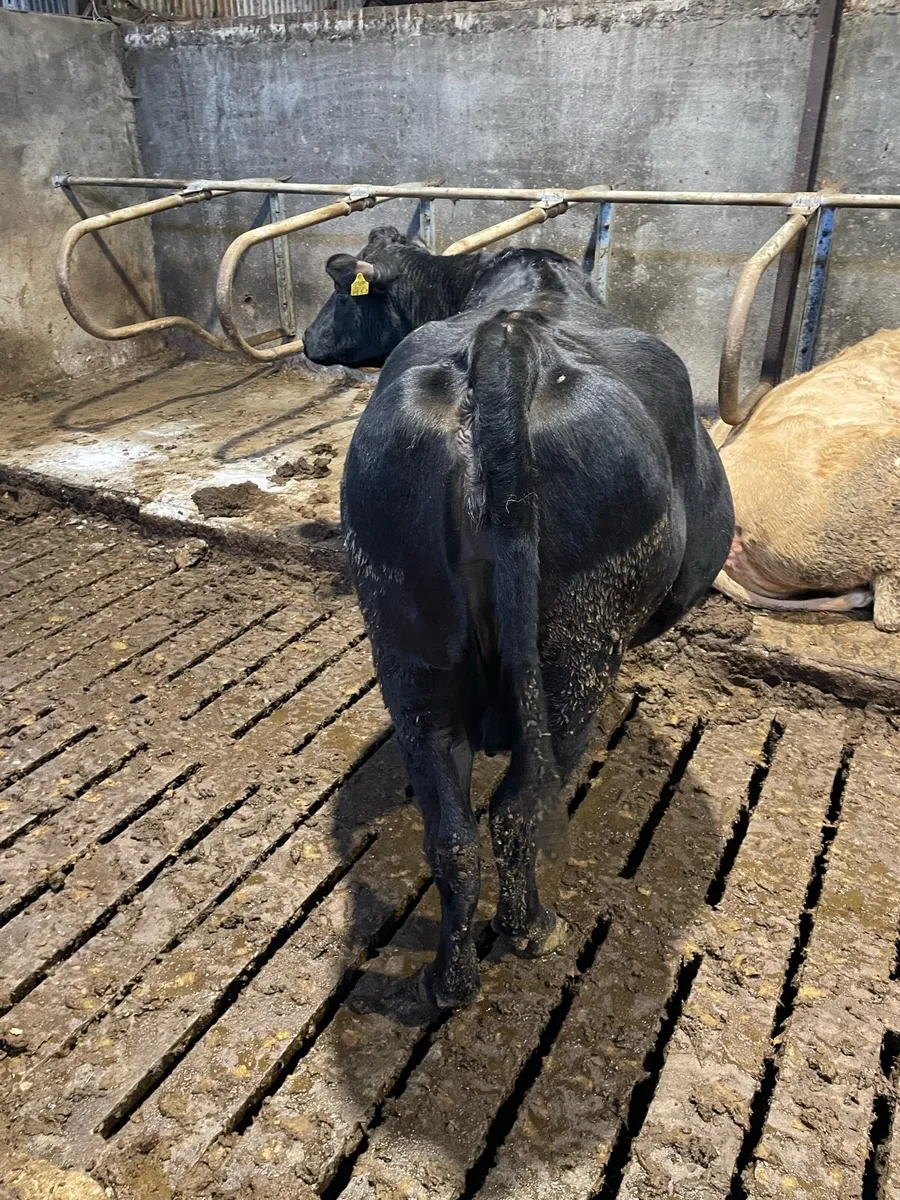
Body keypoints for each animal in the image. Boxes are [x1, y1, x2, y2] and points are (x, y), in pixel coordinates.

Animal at [303, 226, 733, 1009]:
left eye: (340, 293)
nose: (305, 337)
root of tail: (506, 342)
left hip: (408, 638)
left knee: (452, 831)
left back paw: (449, 980)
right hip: (575, 649)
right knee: (518, 806)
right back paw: (533, 928)